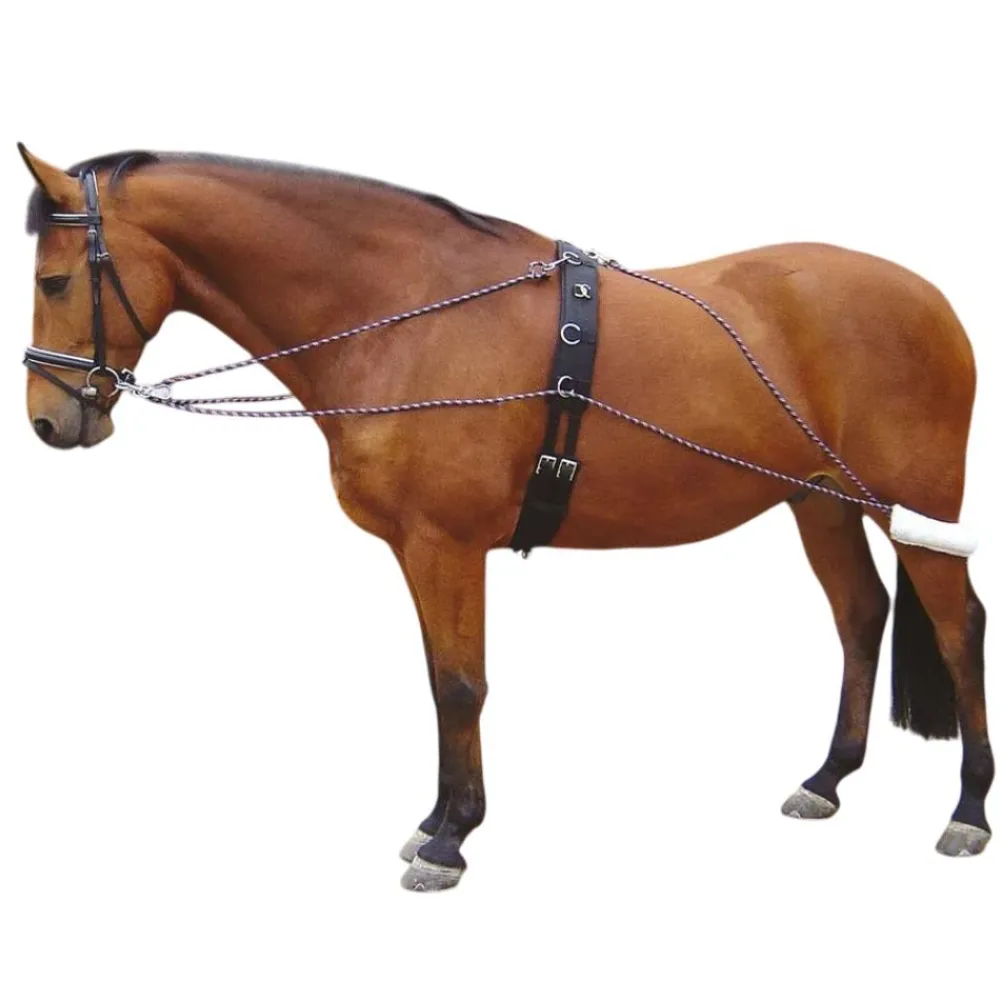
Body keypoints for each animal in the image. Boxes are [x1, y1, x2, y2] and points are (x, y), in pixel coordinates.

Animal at [19, 145, 991, 891]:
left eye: (56, 280)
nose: (49, 421)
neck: (401, 314)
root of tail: (934, 301)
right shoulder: (420, 552)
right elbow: (438, 679)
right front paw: (435, 820)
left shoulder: (447, 545)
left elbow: (460, 686)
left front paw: (451, 841)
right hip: (819, 500)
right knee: (861, 615)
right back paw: (827, 779)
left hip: (912, 505)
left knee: (959, 628)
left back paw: (970, 808)